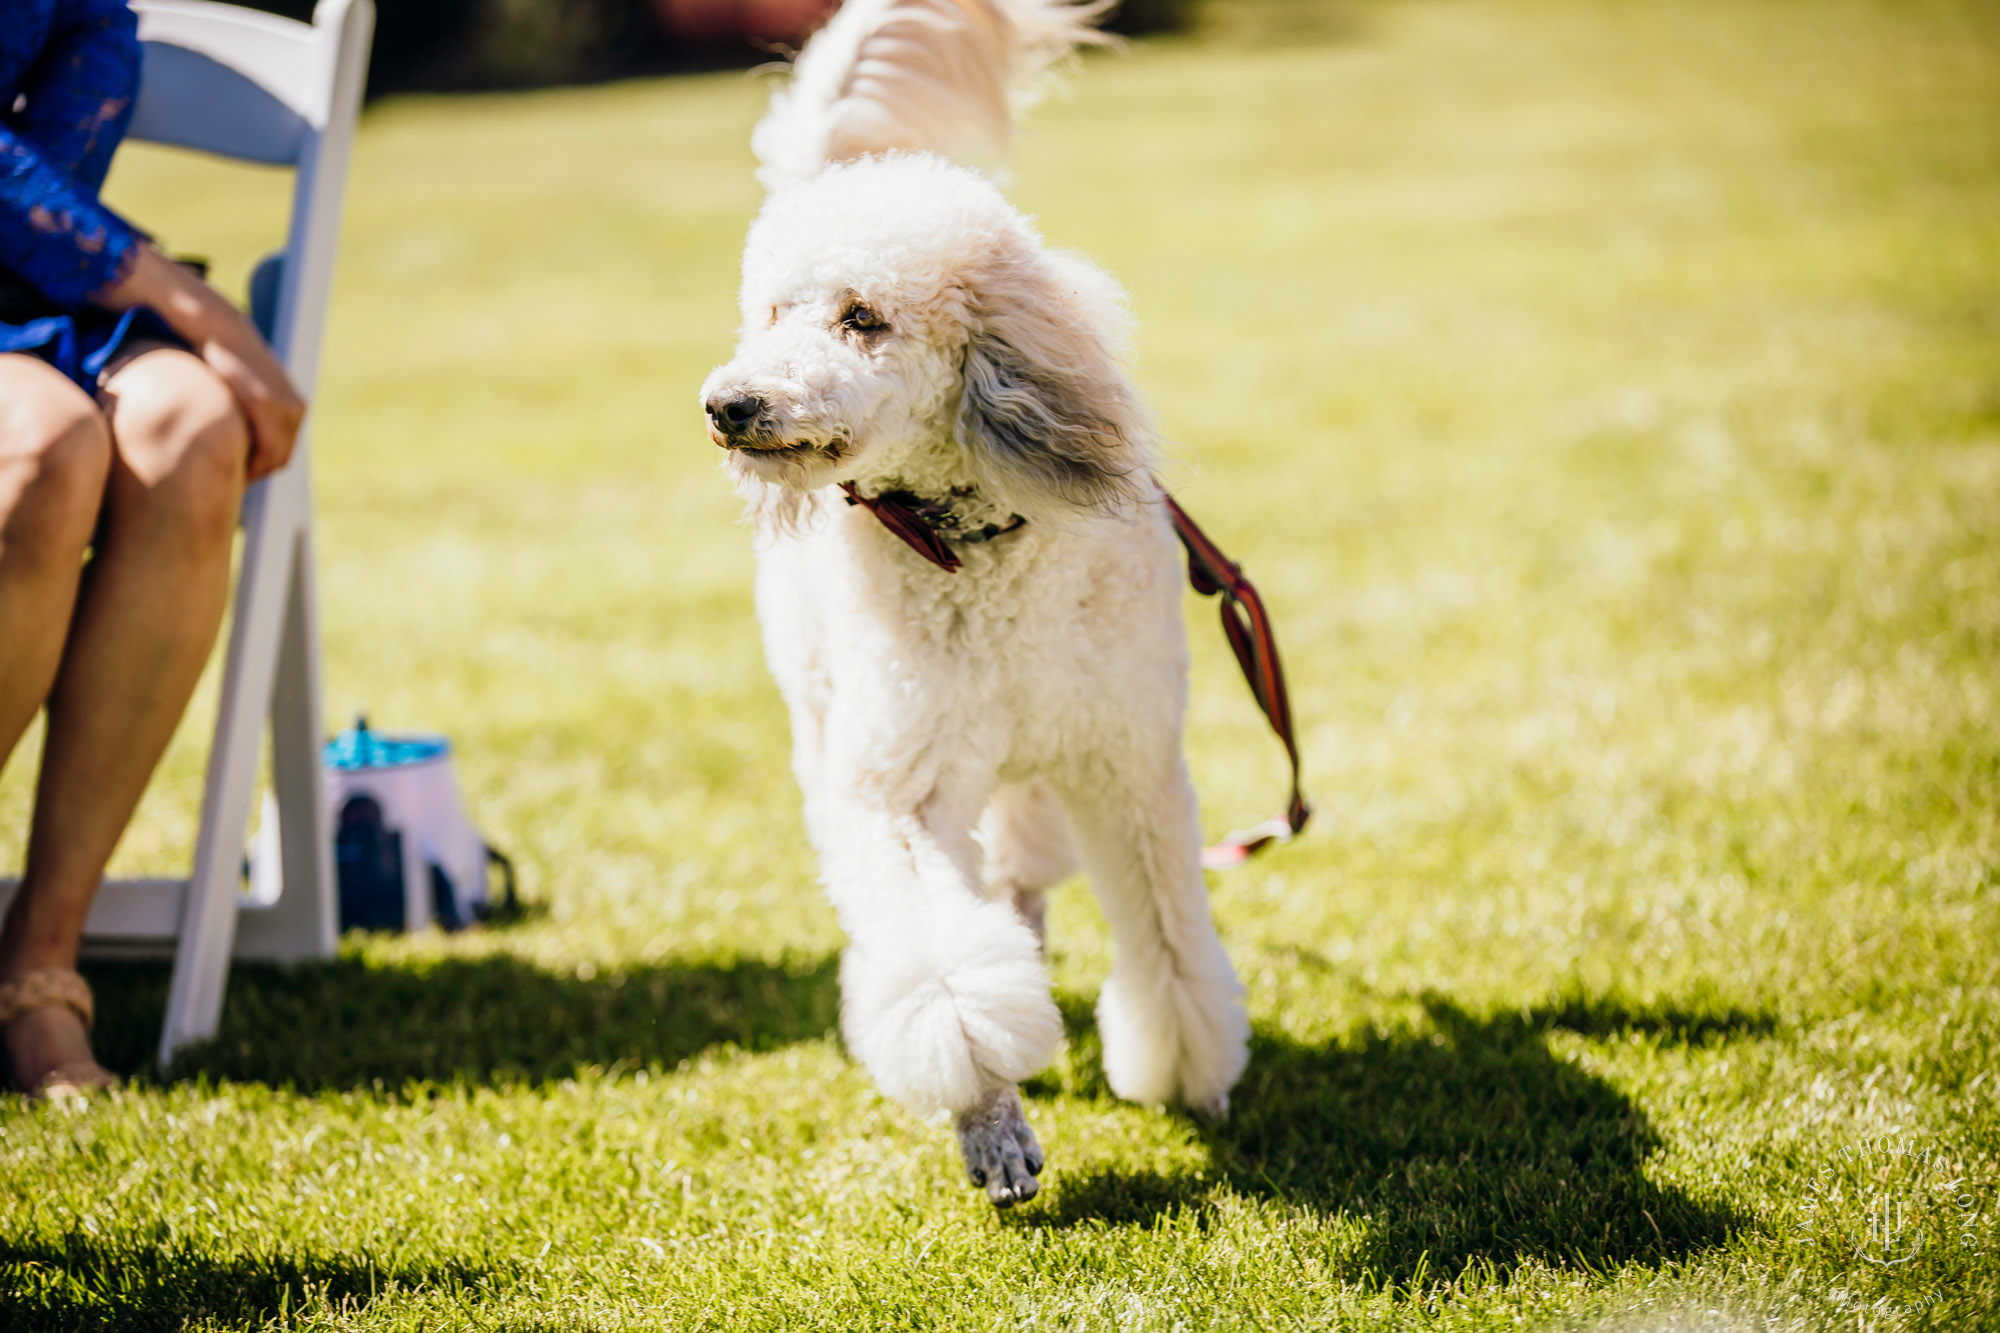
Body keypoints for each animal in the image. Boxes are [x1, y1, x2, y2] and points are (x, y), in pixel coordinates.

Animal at [696, 0, 1240, 1200]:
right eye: (771, 311)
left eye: (863, 317)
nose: (728, 404)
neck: (977, 549)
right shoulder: (899, 786)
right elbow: (946, 976)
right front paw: (990, 1117)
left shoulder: (1125, 764)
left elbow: (1168, 939)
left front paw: (1188, 1069)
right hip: (830, 725)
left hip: (1034, 765)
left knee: (1021, 869)